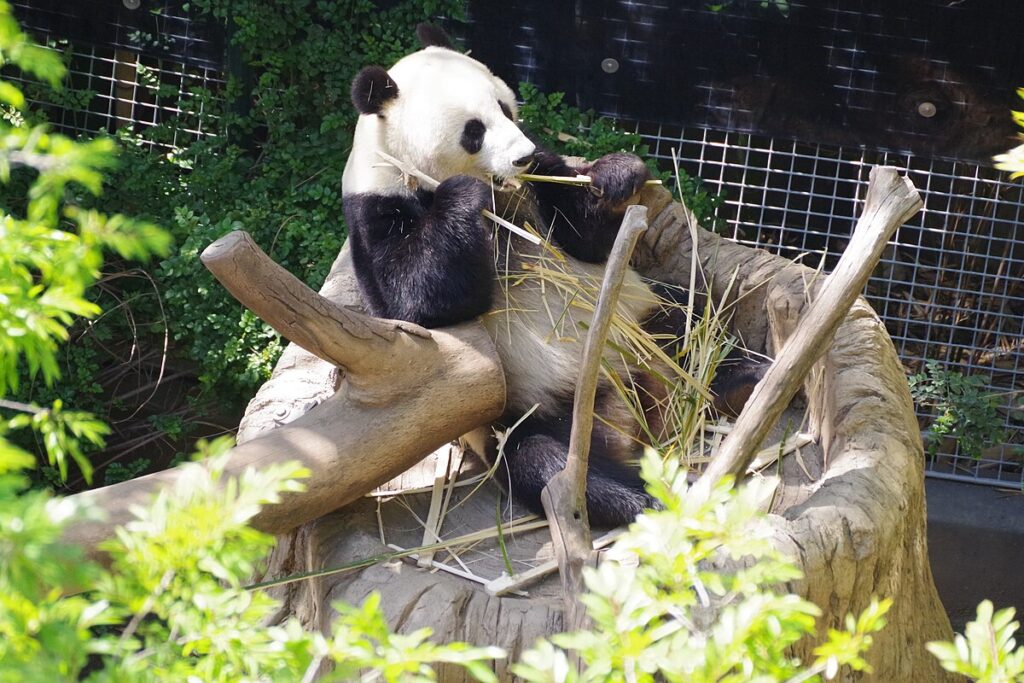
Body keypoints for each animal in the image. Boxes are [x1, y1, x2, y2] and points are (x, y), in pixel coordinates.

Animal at [344, 24, 753, 528]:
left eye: (503, 106)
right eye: (473, 131)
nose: (520, 156)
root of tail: (629, 415)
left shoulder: (538, 186)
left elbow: (585, 237)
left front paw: (616, 175)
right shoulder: (377, 212)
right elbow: (420, 304)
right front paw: (463, 197)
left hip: (640, 319)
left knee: (692, 320)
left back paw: (742, 380)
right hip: (521, 413)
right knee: (548, 462)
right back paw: (650, 496)